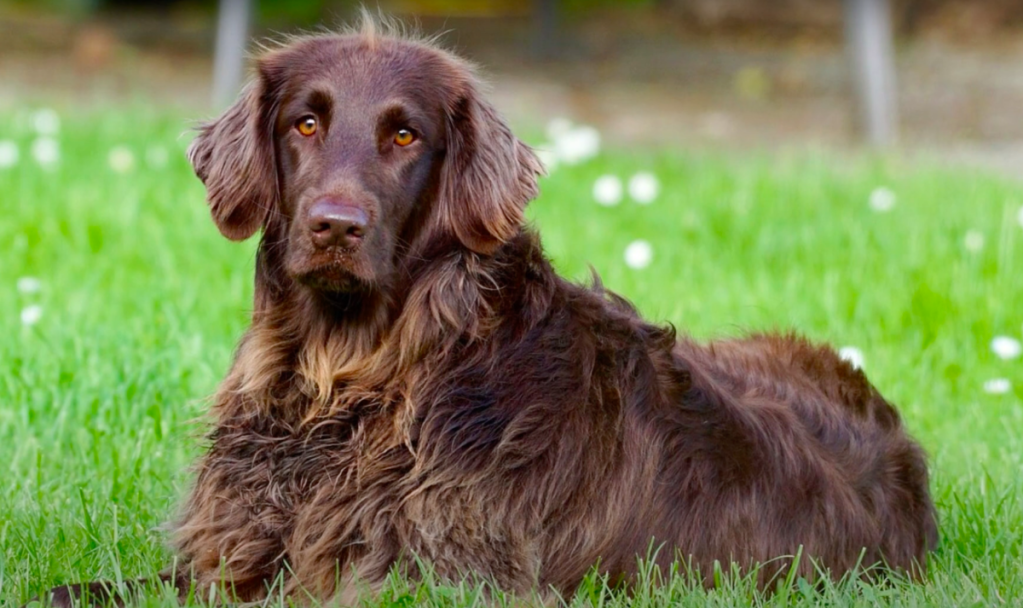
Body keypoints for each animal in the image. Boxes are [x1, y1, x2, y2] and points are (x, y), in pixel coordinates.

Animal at [37, 16, 937, 601]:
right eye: (305, 122)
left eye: (405, 136)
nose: (335, 225)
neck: (351, 383)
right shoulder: (227, 556)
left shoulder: (427, 578)